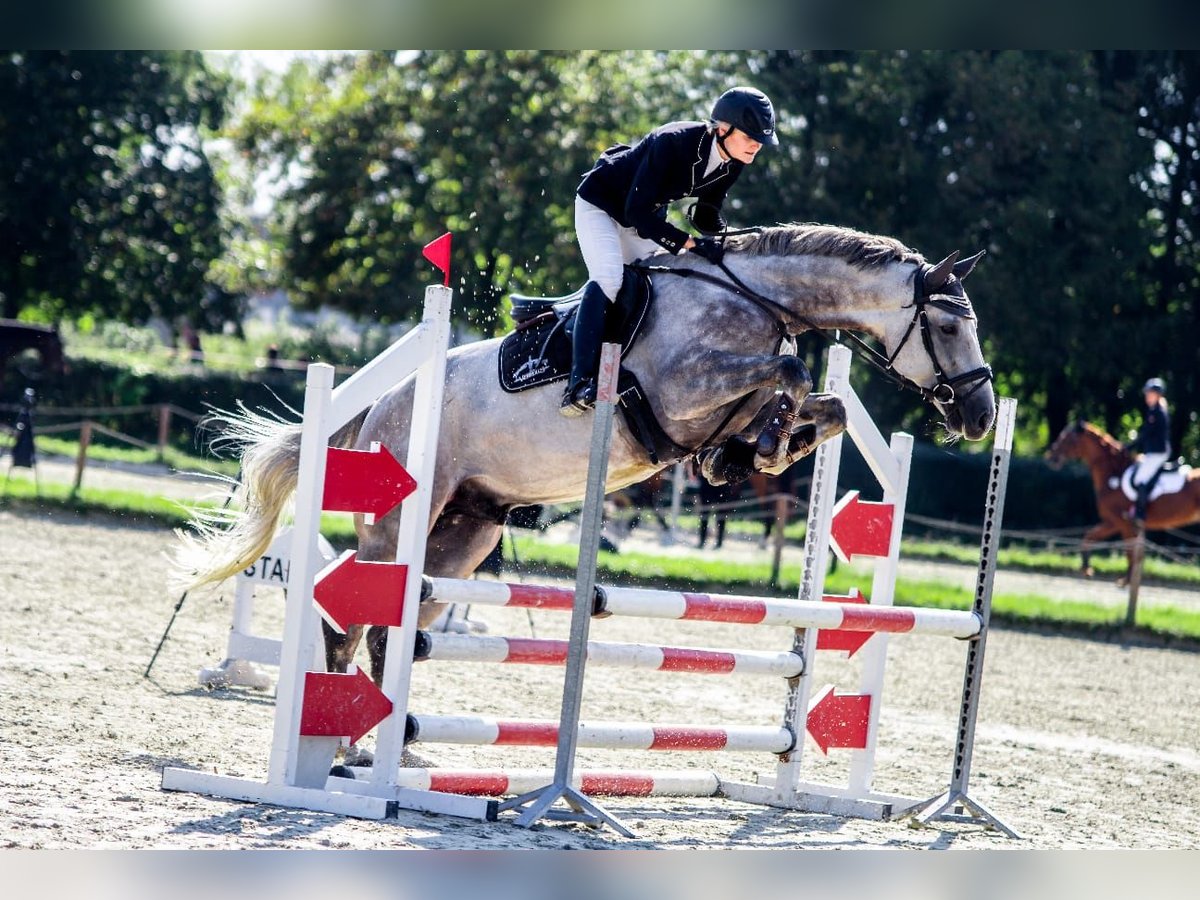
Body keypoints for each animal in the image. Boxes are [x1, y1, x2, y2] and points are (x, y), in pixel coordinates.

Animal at [177, 223, 997, 690]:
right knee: (354, 615)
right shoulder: (684, 390)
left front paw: (753, 453)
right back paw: (346, 744)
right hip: (400, 519)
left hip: (467, 533)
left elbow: (822, 407)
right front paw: (760, 444)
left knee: (401, 622)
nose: (983, 415)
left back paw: (393, 743)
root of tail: (380, 404)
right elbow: (791, 373)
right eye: (949, 327)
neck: (755, 299)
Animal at [1046, 420, 1200, 579]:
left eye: (1067, 438)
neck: (1114, 474)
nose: (1050, 457)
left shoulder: (1122, 522)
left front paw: (1126, 579)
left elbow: (1130, 551)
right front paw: (1086, 568)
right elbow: (1089, 537)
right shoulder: (1112, 522)